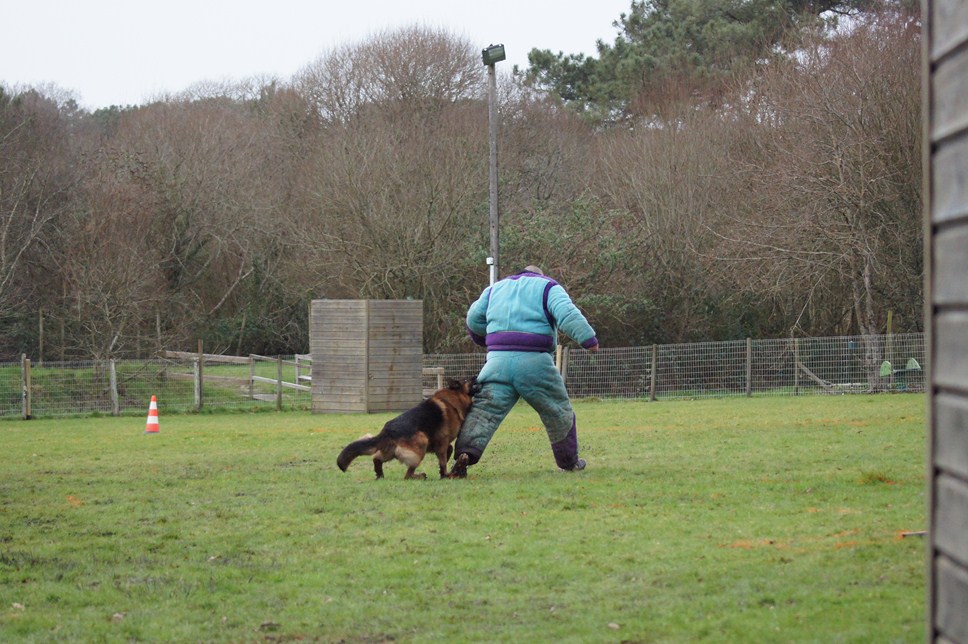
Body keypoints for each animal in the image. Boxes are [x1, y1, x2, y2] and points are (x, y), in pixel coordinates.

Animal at [338, 378, 478, 478]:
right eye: (467, 380)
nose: (475, 376)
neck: (453, 400)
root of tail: (388, 431)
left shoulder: (440, 442)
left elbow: (449, 450)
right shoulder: (442, 441)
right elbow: (443, 461)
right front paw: (445, 474)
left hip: (390, 452)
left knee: (376, 458)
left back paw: (380, 474)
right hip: (421, 442)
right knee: (407, 475)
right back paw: (420, 476)